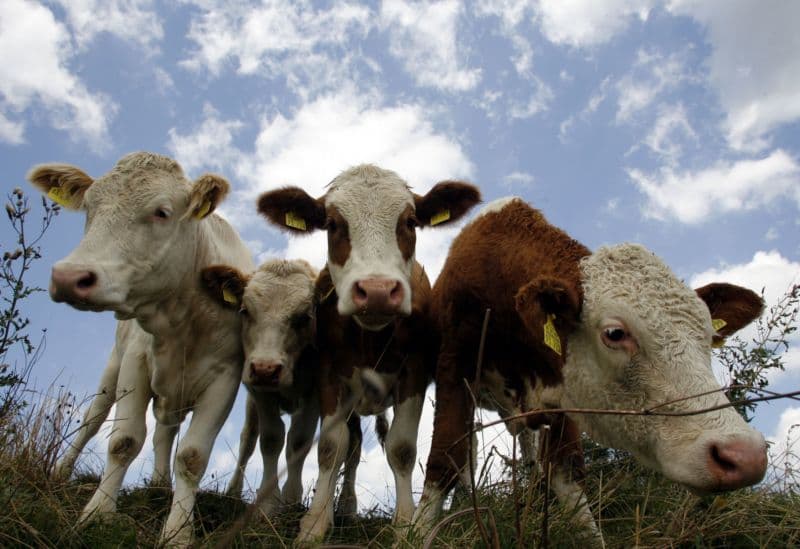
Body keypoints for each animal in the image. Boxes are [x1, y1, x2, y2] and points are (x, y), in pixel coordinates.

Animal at [28, 152, 253, 544]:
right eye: (89, 208)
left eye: (161, 212)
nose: (69, 277)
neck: (181, 320)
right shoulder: (136, 361)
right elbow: (123, 441)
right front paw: (95, 514)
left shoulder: (225, 377)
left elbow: (191, 455)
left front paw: (177, 532)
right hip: (113, 366)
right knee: (93, 419)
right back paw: (62, 471)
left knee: (166, 431)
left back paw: (161, 486)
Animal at [258, 163, 482, 540]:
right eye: (332, 224)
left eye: (410, 222)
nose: (377, 291)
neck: (371, 337)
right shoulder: (329, 373)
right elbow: (331, 447)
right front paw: (315, 524)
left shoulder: (414, 371)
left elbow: (401, 448)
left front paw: (405, 522)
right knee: (353, 445)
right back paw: (346, 508)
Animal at [412, 196, 768, 540]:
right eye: (614, 333)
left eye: (707, 336)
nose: (744, 455)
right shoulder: (454, 370)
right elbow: (444, 461)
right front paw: (417, 533)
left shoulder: (562, 389)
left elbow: (568, 475)